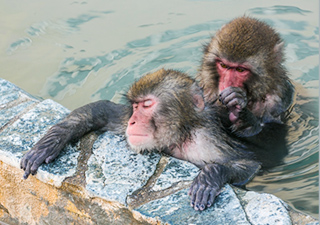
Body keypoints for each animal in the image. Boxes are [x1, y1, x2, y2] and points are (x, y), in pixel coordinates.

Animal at [21, 68, 262, 211]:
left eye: (147, 105)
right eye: (135, 106)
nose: (133, 121)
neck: (178, 135)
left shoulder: (208, 141)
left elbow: (248, 164)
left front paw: (209, 177)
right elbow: (102, 110)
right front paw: (47, 145)